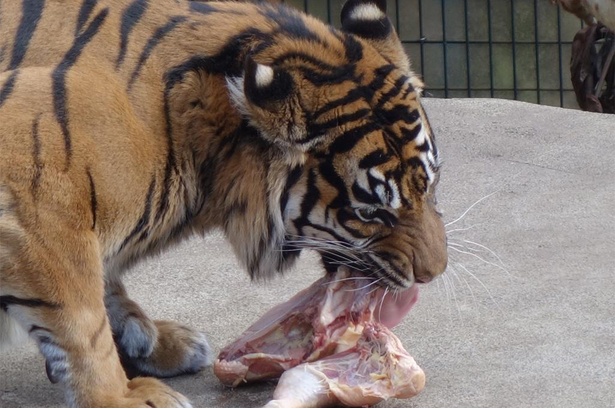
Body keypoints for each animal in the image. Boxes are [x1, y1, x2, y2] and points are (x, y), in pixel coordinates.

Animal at [0, 0, 448, 404]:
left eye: (431, 184)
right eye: (370, 212)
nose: (432, 274)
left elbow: (103, 281)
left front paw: (151, 342)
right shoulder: (43, 202)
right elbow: (81, 320)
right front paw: (119, 397)